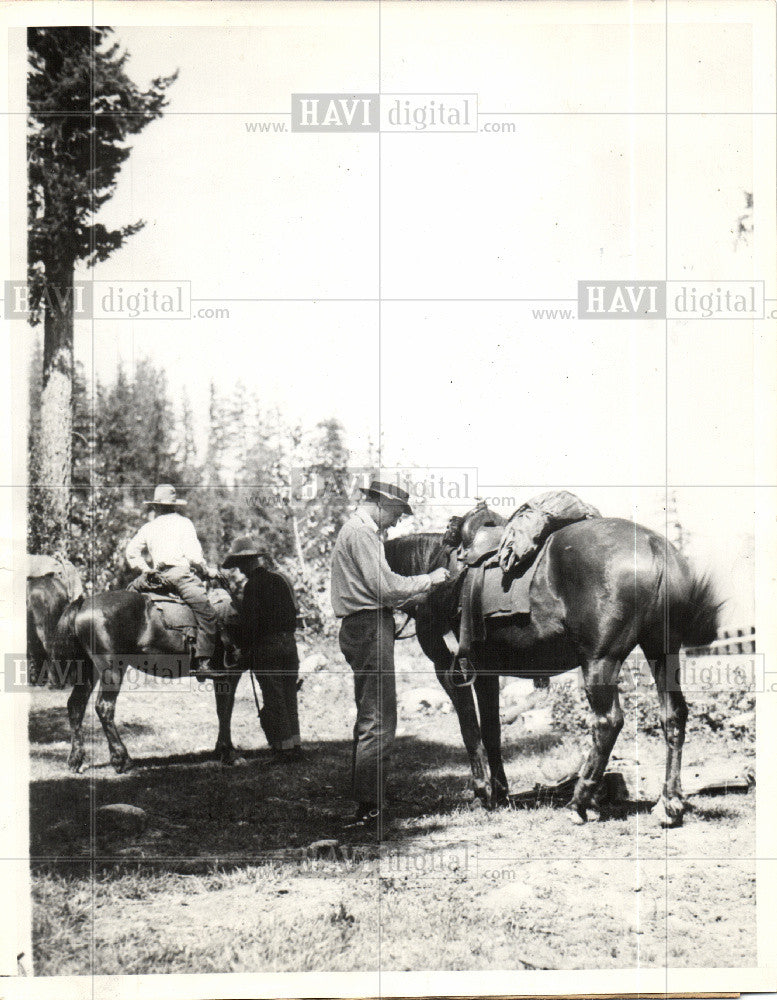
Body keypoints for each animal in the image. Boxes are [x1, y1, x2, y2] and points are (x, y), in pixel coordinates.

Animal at [53, 588, 242, 776]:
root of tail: (84, 603)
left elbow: (223, 710)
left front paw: (222, 750)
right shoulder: (231, 675)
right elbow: (225, 711)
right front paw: (228, 752)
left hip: (89, 670)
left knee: (76, 705)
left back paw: (75, 759)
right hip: (112, 671)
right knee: (104, 707)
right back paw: (122, 760)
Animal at [384, 516, 720, 828]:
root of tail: (654, 545)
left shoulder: (453, 671)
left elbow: (471, 731)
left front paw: (483, 793)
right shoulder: (488, 673)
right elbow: (492, 730)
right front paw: (500, 793)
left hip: (600, 662)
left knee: (608, 722)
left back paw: (580, 802)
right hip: (662, 653)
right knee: (673, 716)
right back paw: (669, 804)